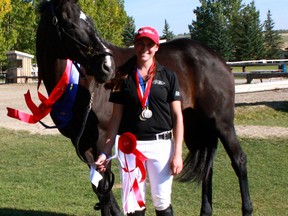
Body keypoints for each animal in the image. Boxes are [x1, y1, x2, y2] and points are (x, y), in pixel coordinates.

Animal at [35, 0, 252, 216]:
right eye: (70, 24)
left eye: (90, 22)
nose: (107, 67)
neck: (82, 85)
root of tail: (216, 57)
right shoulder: (82, 143)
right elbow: (100, 189)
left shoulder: (101, 138)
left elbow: (104, 188)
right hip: (194, 125)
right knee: (208, 167)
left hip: (221, 122)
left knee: (239, 160)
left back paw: (247, 208)